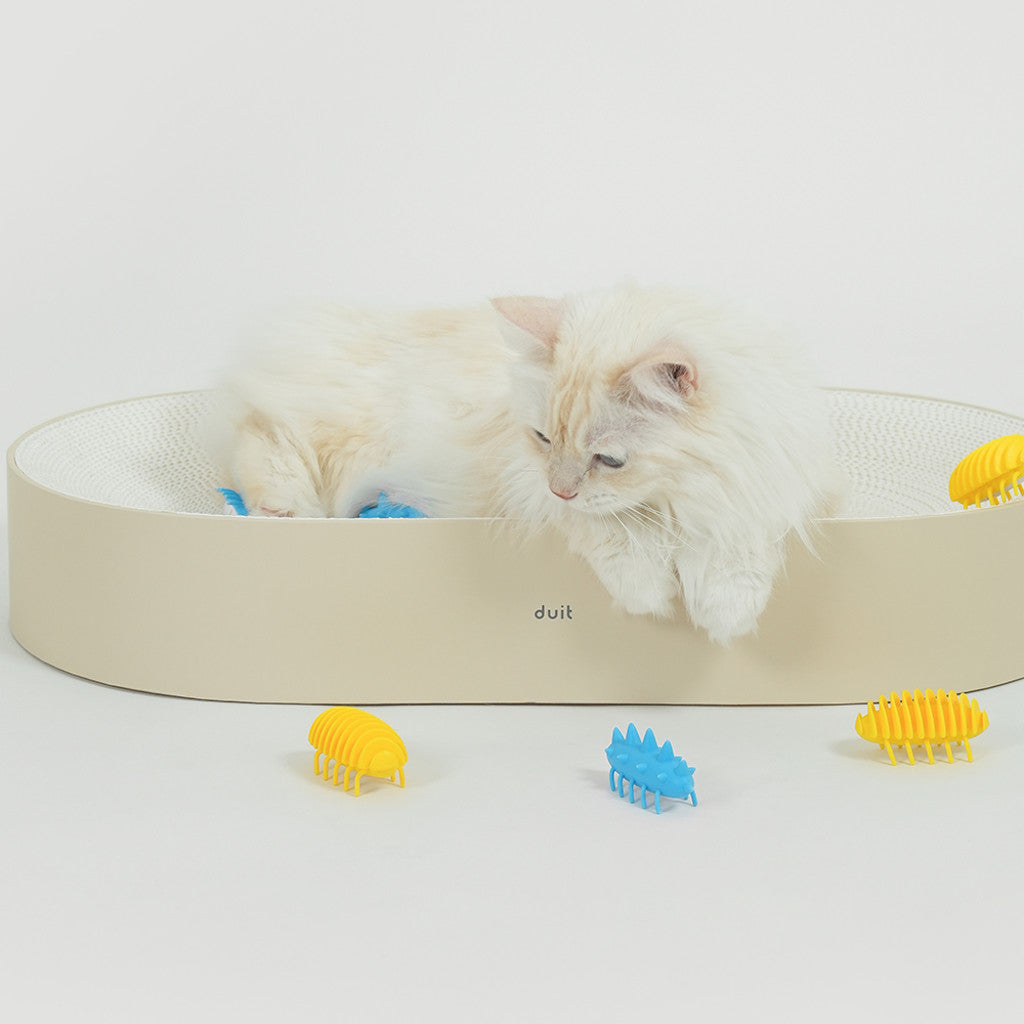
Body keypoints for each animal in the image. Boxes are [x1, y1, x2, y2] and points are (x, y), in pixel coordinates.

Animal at [213, 283, 837, 644]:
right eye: (542, 437)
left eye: (608, 459)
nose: (562, 488)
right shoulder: (519, 480)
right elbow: (614, 529)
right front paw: (648, 593)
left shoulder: (761, 487)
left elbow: (739, 549)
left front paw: (728, 613)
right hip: (341, 433)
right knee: (259, 432)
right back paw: (281, 509)